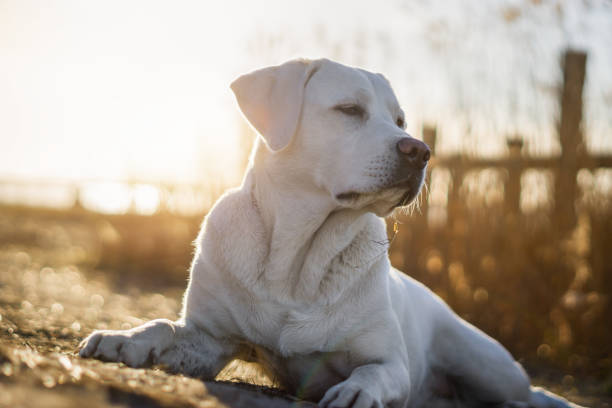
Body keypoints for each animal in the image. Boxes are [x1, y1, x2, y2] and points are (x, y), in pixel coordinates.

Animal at [79, 58, 580, 408]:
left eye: (400, 120)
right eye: (349, 110)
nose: (421, 151)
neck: (295, 260)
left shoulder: (389, 362)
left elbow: (373, 373)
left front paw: (358, 392)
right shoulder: (211, 339)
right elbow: (165, 325)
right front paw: (123, 338)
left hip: (484, 361)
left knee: (527, 391)